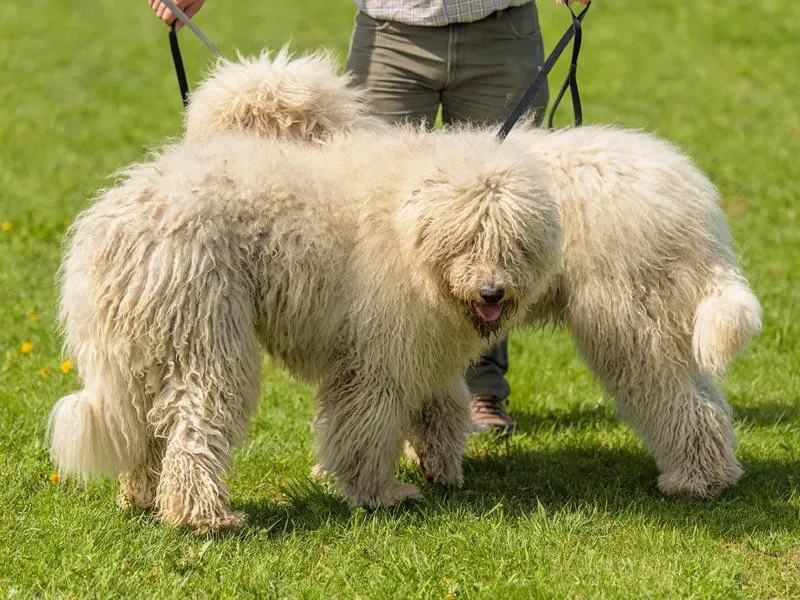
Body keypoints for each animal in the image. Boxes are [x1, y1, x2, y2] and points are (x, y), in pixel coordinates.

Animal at [50, 51, 764, 528]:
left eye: (507, 240)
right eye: (468, 239)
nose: (494, 293)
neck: (409, 219)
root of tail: (694, 197)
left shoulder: (405, 341)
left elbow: (405, 414)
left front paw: (404, 480)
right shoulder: (396, 342)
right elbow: (391, 417)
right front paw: (397, 485)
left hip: (639, 316)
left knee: (685, 399)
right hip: (182, 340)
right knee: (183, 428)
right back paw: (186, 511)